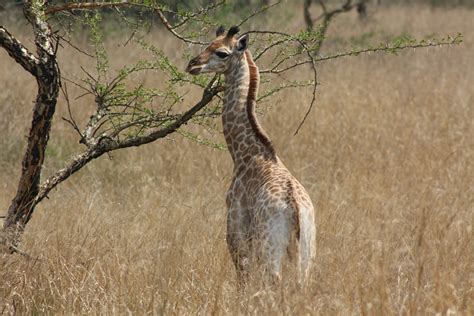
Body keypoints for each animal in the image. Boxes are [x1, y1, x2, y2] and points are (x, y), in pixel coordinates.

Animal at [187, 25, 316, 286]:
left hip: (270, 252)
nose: (192, 64)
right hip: (306, 257)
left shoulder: (236, 233)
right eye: (208, 44)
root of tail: (296, 210)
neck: (244, 153)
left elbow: (243, 281)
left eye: (222, 53)